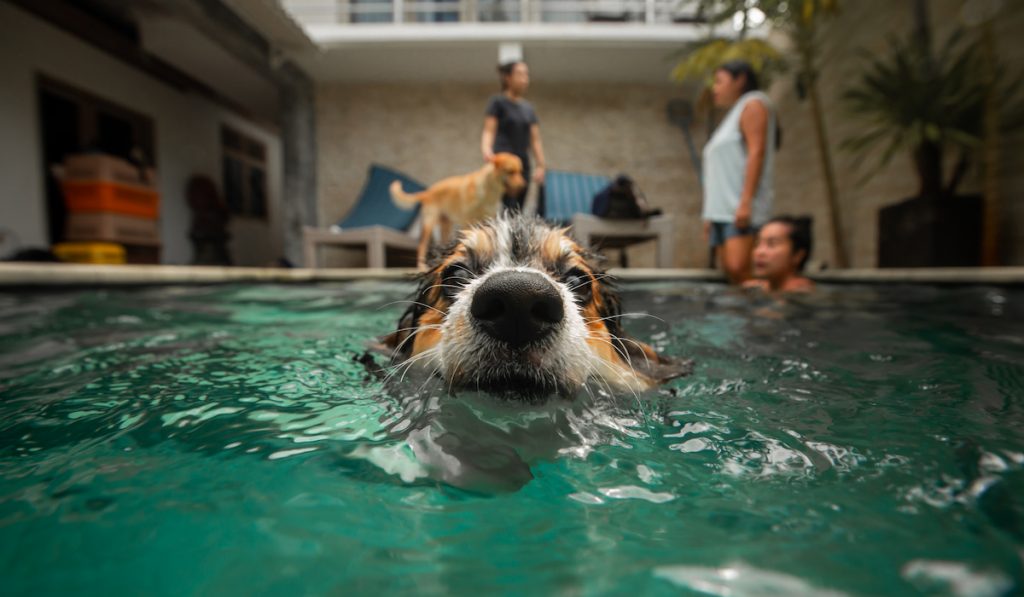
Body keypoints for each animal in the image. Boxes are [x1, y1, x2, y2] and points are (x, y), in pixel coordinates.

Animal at [391, 152, 528, 270]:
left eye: (520, 171)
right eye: (510, 171)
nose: (523, 186)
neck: (489, 192)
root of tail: (427, 192)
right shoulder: (467, 221)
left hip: (445, 226)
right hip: (429, 223)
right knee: (421, 246)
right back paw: (422, 267)